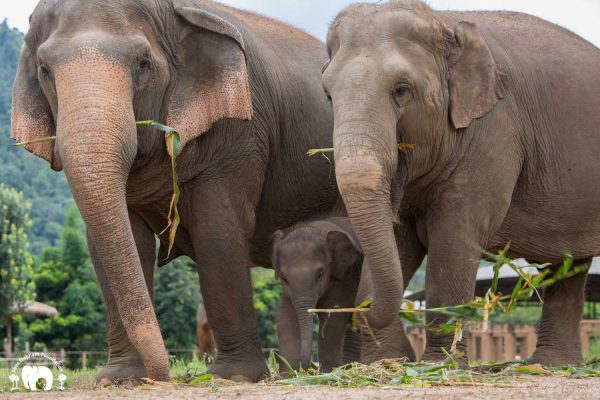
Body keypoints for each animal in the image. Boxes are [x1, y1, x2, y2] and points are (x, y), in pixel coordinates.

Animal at [10, 0, 338, 384]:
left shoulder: (242, 130)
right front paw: (120, 379)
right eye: (44, 69)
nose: (163, 374)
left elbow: (218, 230)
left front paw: (230, 377)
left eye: (143, 63)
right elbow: (117, 243)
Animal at [270, 217, 412, 370]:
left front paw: (327, 371)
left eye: (320, 274)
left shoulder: (345, 276)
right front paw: (290, 372)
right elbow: (286, 317)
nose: (307, 367)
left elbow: (333, 317)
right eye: (284, 278)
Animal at [324, 0, 600, 366]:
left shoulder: (495, 131)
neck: (445, 20)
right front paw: (388, 362)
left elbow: (455, 236)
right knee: (570, 265)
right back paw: (551, 364)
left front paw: (439, 363)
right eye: (327, 95)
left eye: (401, 90)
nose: (355, 313)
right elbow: (398, 238)